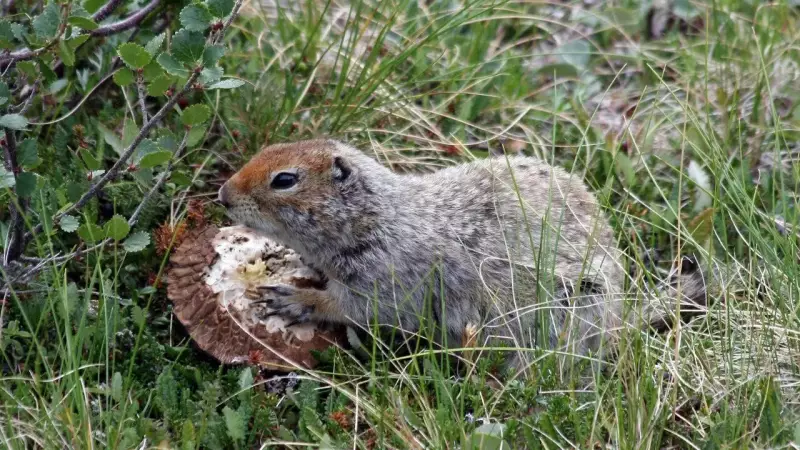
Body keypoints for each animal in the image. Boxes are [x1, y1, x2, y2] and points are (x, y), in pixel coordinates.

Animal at [218, 138, 709, 370]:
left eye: (285, 179)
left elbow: (355, 306)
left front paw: (294, 299)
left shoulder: (389, 276)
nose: (222, 194)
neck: (377, 216)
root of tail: (622, 317)